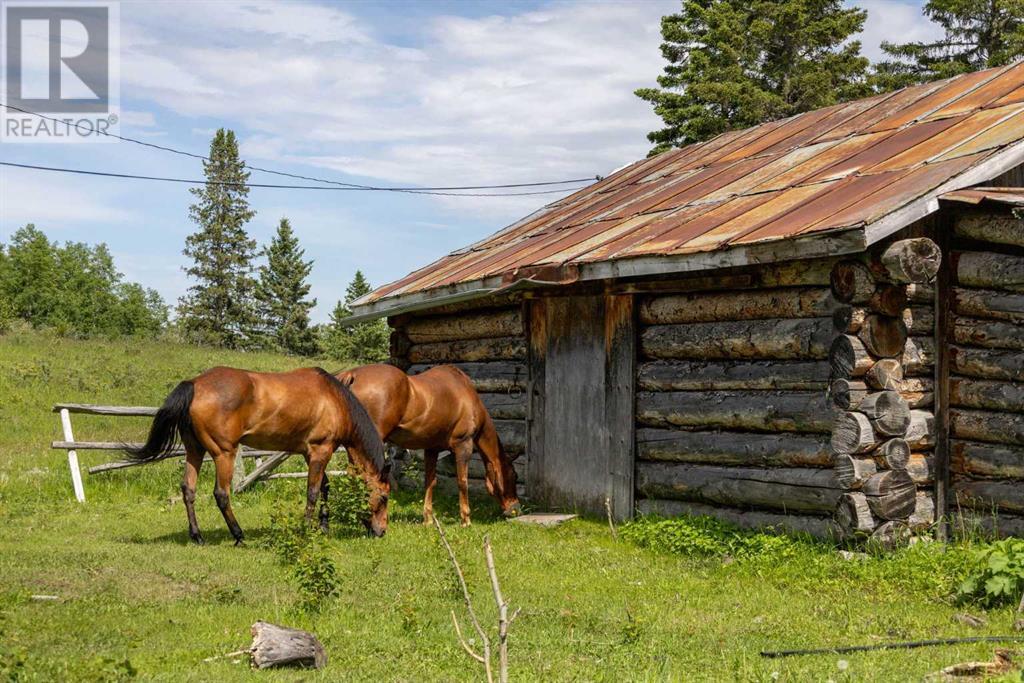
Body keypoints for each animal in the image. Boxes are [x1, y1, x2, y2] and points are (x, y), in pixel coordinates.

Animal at [123, 368, 387, 544]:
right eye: (384, 497)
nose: (382, 531)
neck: (335, 400)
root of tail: (195, 384)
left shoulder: (310, 453)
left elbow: (325, 487)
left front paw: (323, 526)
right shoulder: (321, 450)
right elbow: (313, 492)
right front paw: (307, 529)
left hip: (194, 450)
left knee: (188, 489)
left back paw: (197, 536)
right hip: (224, 453)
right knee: (221, 494)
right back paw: (238, 535)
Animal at [339, 366, 524, 528]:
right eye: (514, 476)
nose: (515, 509)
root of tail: (352, 374)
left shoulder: (431, 449)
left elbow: (430, 481)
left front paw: (427, 519)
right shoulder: (463, 444)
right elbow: (462, 481)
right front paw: (466, 520)